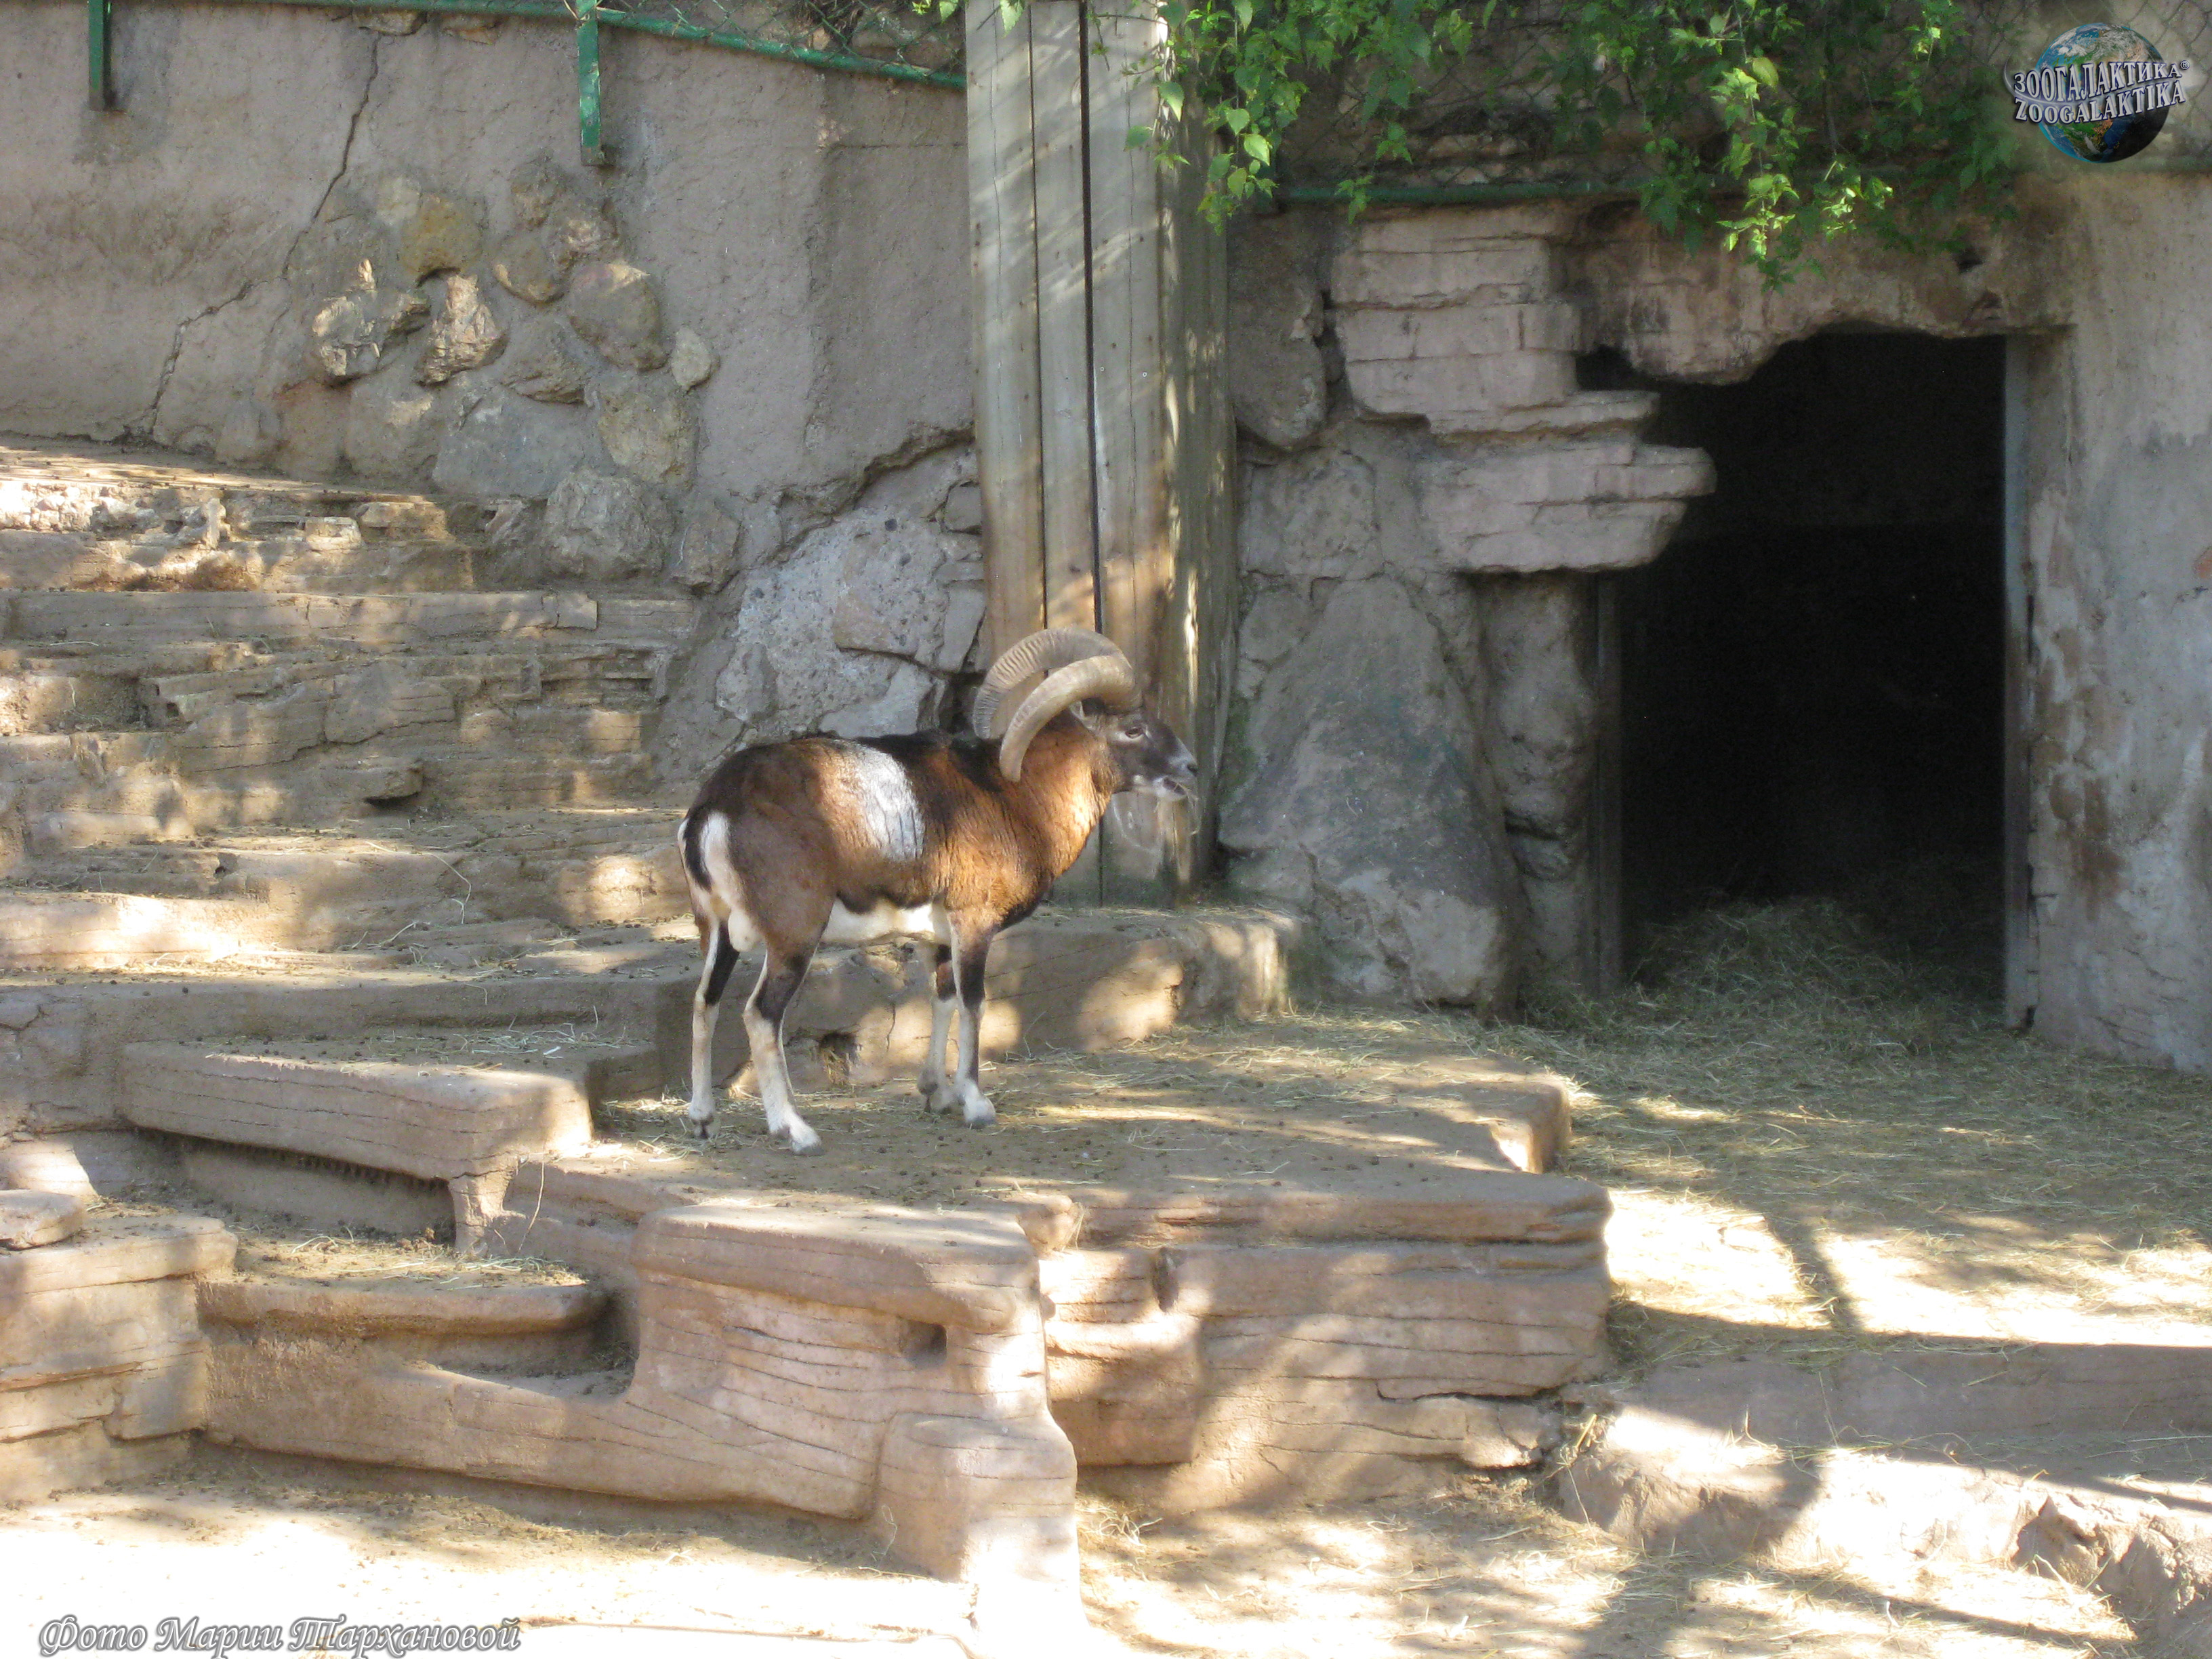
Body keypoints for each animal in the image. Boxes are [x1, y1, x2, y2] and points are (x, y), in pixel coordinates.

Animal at [677, 628, 1197, 1153]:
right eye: (1133, 729)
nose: (1190, 768)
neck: (1020, 797)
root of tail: (716, 808)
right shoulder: (975, 923)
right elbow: (974, 1002)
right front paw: (976, 1104)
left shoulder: (940, 937)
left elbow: (942, 999)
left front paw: (937, 1095)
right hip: (794, 937)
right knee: (761, 1015)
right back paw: (796, 1131)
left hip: (717, 930)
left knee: (705, 1002)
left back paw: (703, 1120)